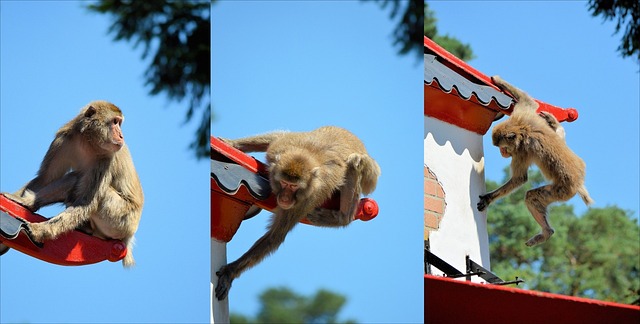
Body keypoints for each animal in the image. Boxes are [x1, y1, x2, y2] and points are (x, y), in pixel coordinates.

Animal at [2, 100, 144, 266]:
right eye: (115, 122)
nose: (121, 135)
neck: (88, 143)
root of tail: (129, 237)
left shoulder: (106, 159)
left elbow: (85, 204)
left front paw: (38, 231)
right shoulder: (63, 139)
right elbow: (46, 177)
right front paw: (17, 199)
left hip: (121, 220)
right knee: (74, 178)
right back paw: (29, 203)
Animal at [214, 125, 380, 300]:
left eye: (294, 187)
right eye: (284, 183)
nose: (285, 198)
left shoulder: (307, 198)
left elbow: (274, 237)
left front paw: (230, 271)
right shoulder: (278, 148)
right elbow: (278, 135)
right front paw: (231, 144)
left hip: (370, 176)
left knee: (356, 161)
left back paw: (342, 217)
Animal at [478, 76, 592, 247]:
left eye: (503, 148)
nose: (502, 153)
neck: (522, 129)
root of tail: (579, 182)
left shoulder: (521, 152)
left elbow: (520, 178)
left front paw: (488, 198)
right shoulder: (523, 115)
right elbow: (529, 103)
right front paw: (498, 80)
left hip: (562, 191)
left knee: (532, 196)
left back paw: (546, 232)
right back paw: (556, 125)